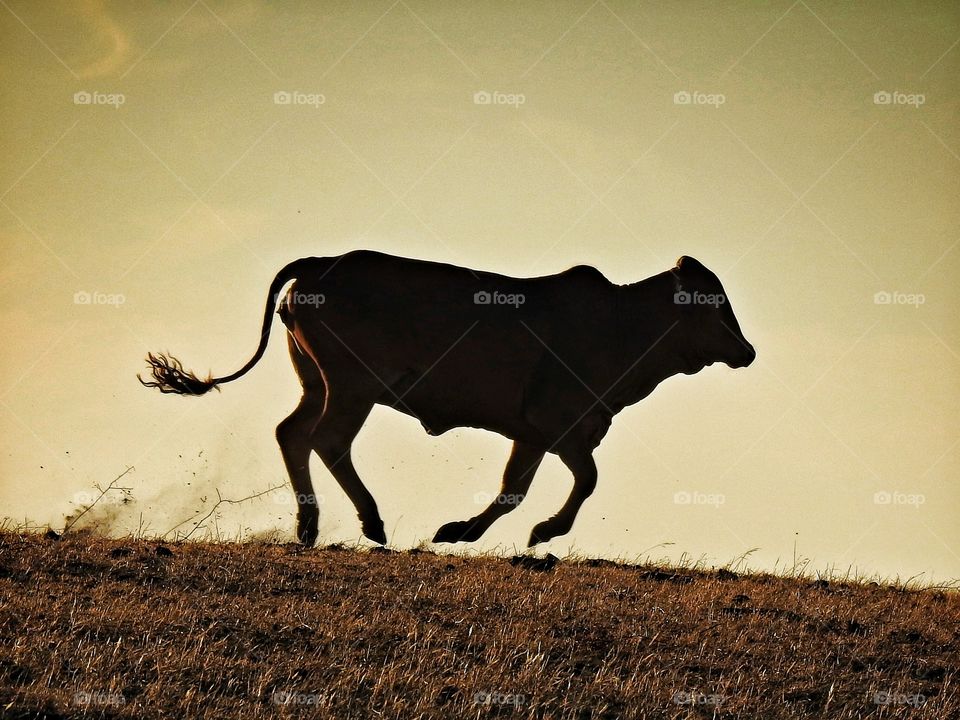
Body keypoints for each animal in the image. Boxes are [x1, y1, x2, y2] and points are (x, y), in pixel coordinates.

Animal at [139, 252, 755, 548]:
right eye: (714, 301)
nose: (747, 351)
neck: (621, 327)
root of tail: (321, 262)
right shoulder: (560, 425)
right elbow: (585, 481)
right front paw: (545, 532)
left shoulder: (532, 433)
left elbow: (512, 489)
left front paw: (462, 531)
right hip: (352, 387)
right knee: (327, 440)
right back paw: (368, 522)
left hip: (318, 383)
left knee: (292, 433)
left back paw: (310, 527)